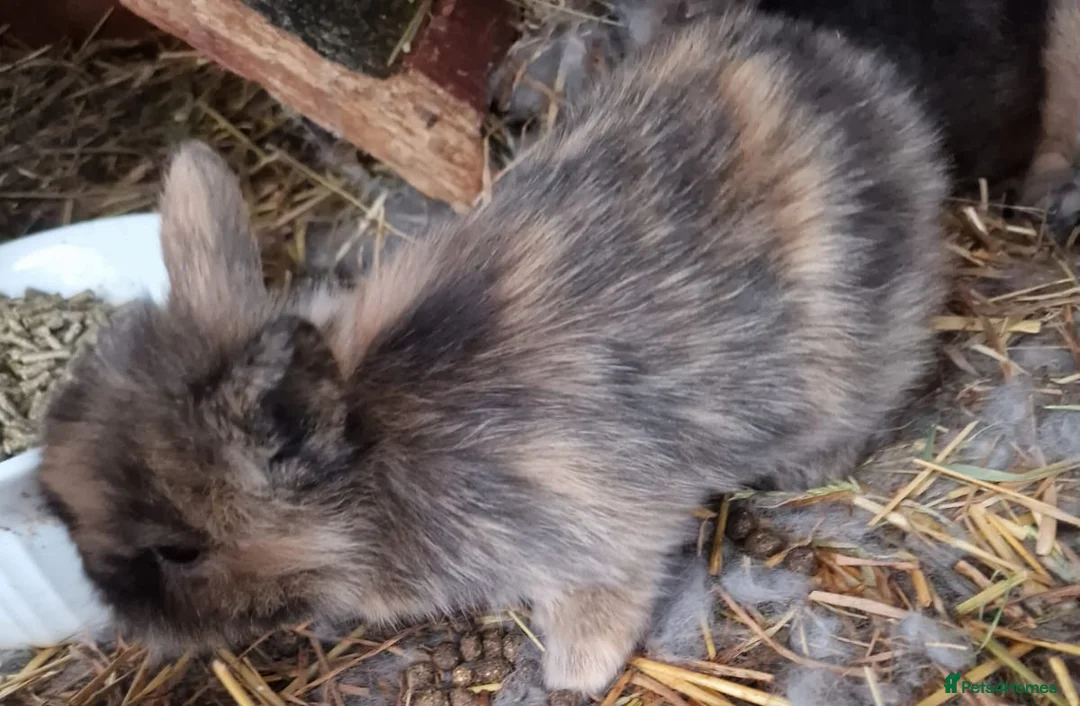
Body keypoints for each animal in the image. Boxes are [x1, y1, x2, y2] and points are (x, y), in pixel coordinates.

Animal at [35, 7, 948, 696]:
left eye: (180, 550)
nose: (135, 630)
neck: (371, 457)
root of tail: (880, 100)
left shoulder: (595, 525)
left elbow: (602, 595)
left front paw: (576, 674)